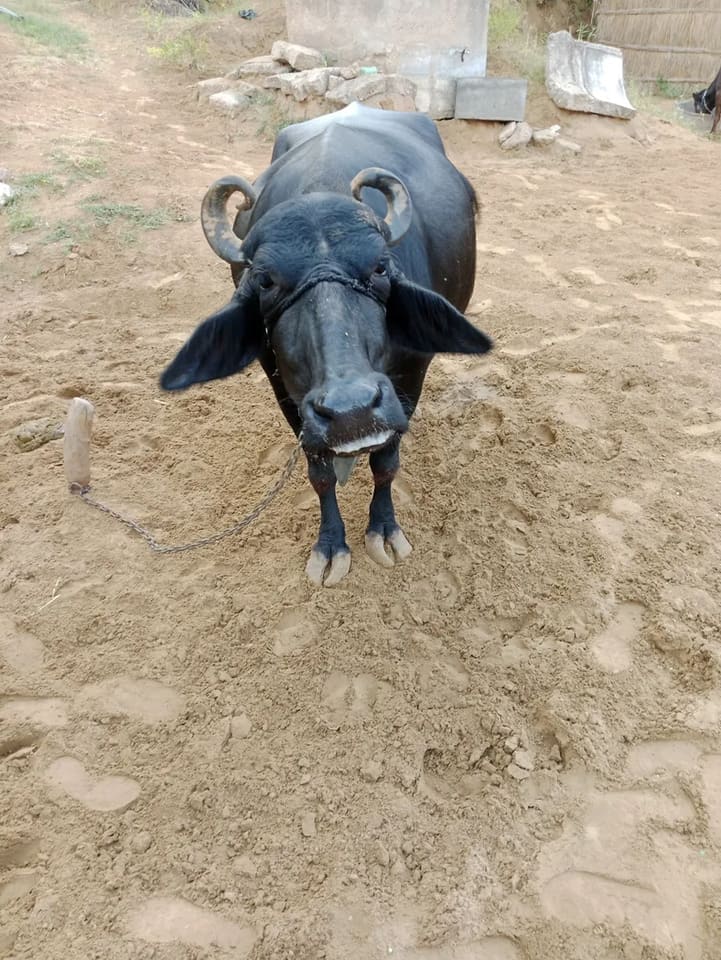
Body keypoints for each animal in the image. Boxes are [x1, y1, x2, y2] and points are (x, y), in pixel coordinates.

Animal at [160, 102, 492, 586]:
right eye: (265, 280)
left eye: (379, 267)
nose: (351, 412)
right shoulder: (285, 391)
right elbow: (318, 473)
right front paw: (331, 544)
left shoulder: (409, 375)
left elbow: (386, 463)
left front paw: (384, 529)